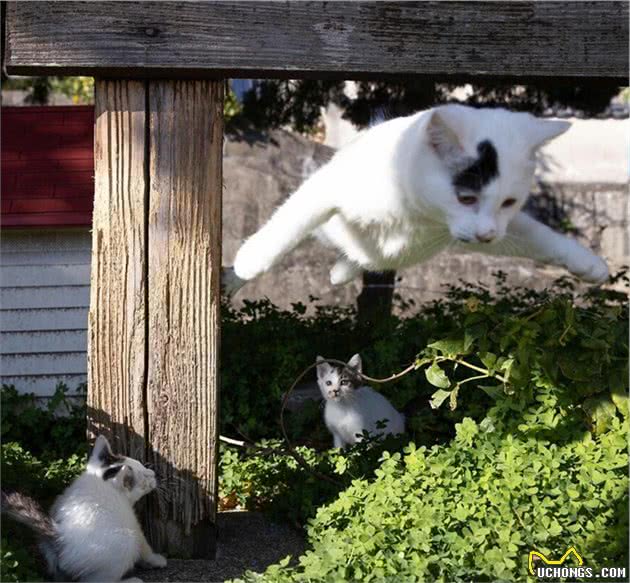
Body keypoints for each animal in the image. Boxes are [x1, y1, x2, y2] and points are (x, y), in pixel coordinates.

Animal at [0, 436, 168, 580]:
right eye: (145, 479)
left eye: (141, 465)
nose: (152, 473)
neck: (102, 482)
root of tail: (60, 536)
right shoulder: (132, 523)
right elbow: (144, 545)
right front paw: (156, 560)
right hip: (125, 541)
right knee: (97, 580)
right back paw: (131, 580)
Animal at [225, 104, 608, 292]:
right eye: (466, 198)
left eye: (509, 203)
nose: (486, 235)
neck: (419, 213)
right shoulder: (331, 183)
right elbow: (294, 218)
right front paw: (251, 260)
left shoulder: (497, 229)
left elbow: (540, 236)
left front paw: (589, 263)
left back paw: (344, 270)